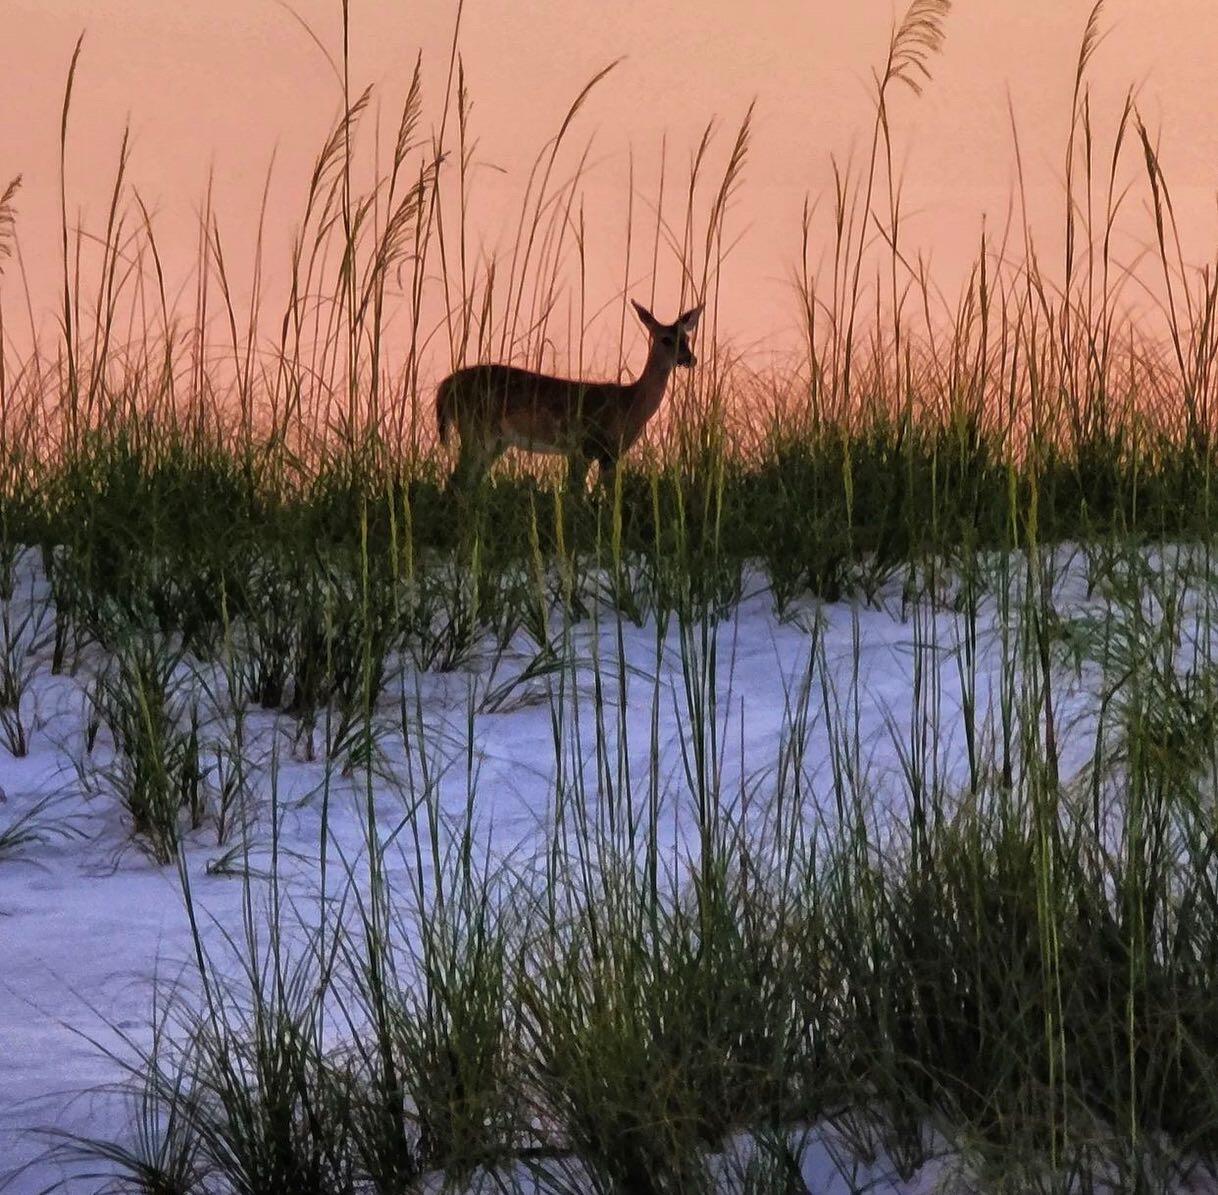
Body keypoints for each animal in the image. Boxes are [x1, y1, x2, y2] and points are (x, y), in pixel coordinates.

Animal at [435, 300, 703, 493]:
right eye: (666, 339)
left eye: (687, 339)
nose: (690, 358)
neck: (630, 403)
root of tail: (445, 385)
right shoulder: (589, 445)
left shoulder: (607, 453)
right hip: (476, 429)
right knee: (457, 480)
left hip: (496, 440)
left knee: (468, 480)